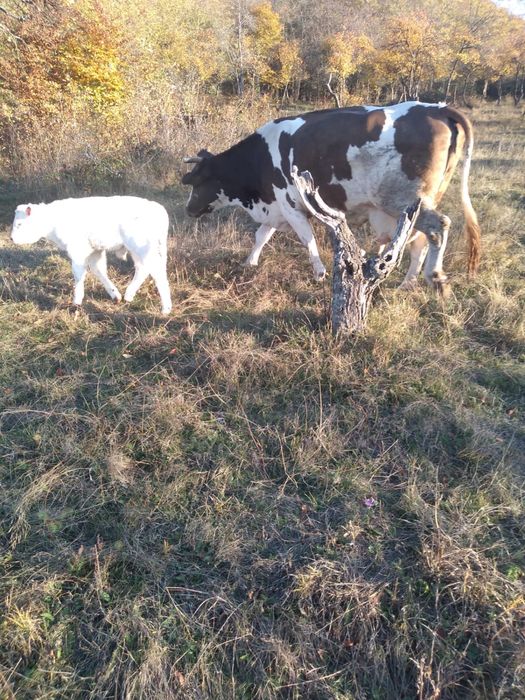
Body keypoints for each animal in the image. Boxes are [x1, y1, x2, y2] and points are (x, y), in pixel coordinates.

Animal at [11, 196, 172, 314]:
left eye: (19, 224)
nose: (11, 238)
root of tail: (159, 209)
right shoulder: (95, 251)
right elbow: (99, 270)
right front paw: (115, 295)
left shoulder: (77, 251)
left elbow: (78, 275)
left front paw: (76, 301)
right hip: (138, 250)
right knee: (143, 268)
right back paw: (128, 296)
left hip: (142, 247)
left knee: (156, 271)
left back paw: (166, 308)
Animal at [181, 101, 480, 291]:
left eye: (196, 182)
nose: (188, 209)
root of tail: (437, 108)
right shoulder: (276, 207)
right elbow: (261, 236)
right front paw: (250, 262)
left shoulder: (290, 206)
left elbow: (307, 239)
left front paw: (319, 272)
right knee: (419, 241)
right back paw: (407, 283)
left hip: (402, 201)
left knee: (438, 227)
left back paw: (433, 275)